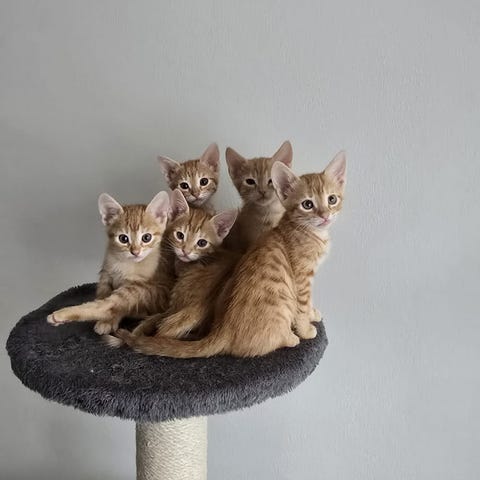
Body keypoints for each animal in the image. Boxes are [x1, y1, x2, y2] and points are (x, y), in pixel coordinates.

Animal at [47, 191, 174, 334]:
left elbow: (117, 306)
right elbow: (102, 294)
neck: (124, 264)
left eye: (146, 237)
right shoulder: (106, 274)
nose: (135, 252)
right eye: (123, 238)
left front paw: (108, 321)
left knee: (107, 306)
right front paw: (106, 320)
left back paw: (60, 315)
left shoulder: (145, 286)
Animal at [115, 150, 346, 357]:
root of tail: (223, 330)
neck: (307, 230)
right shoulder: (302, 276)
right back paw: (290, 338)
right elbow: (303, 305)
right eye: (307, 204)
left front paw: (313, 314)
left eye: (332, 199)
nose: (325, 216)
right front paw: (307, 328)